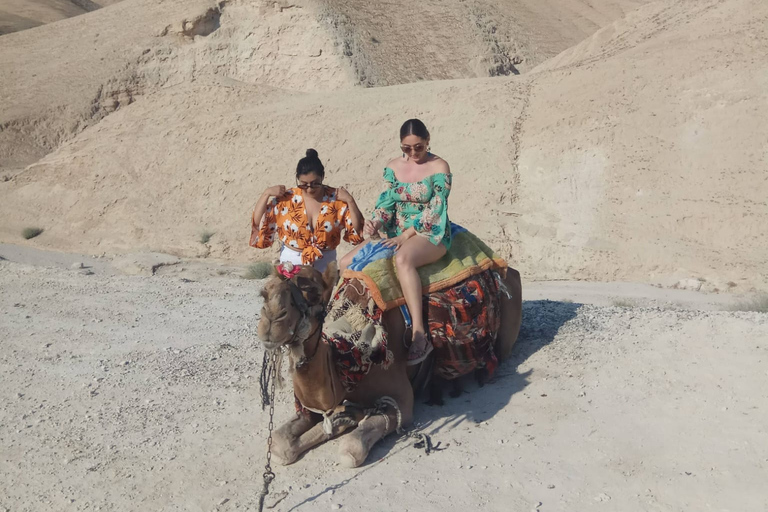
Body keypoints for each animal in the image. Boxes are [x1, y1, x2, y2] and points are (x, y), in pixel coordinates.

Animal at [258, 262, 520, 466]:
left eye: (312, 291)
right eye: (265, 293)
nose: (271, 321)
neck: (349, 356)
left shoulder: (403, 401)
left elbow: (350, 450)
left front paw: (350, 421)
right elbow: (279, 445)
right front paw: (344, 419)